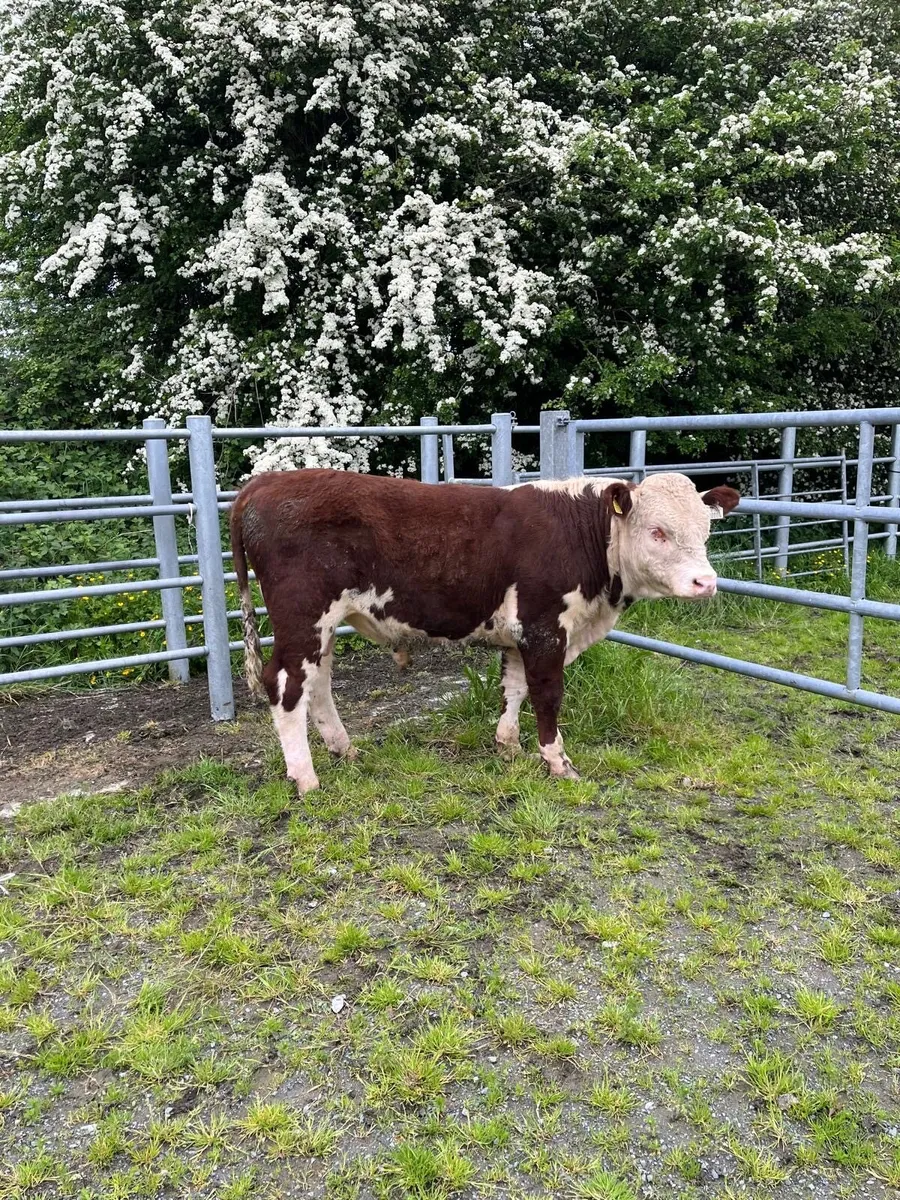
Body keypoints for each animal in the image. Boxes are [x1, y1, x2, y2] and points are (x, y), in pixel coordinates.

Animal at [230, 470, 740, 793]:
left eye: (705, 530)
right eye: (657, 531)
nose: (706, 582)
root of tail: (264, 482)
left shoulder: (521, 633)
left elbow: (514, 688)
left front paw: (508, 745)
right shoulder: (545, 627)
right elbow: (547, 694)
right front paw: (557, 762)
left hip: (323, 627)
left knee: (318, 684)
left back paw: (344, 750)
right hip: (302, 618)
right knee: (286, 686)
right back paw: (305, 778)